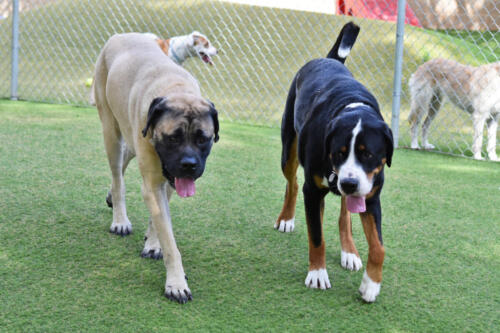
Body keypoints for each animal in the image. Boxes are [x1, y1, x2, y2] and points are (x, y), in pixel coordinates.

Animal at [276, 22, 392, 302]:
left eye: (368, 154)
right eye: (339, 152)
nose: (349, 183)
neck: (352, 106)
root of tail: (328, 60)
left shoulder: (371, 196)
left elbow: (378, 247)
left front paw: (371, 284)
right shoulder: (312, 191)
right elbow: (317, 237)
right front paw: (317, 274)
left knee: (344, 216)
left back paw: (349, 251)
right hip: (289, 151)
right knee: (292, 184)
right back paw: (286, 218)